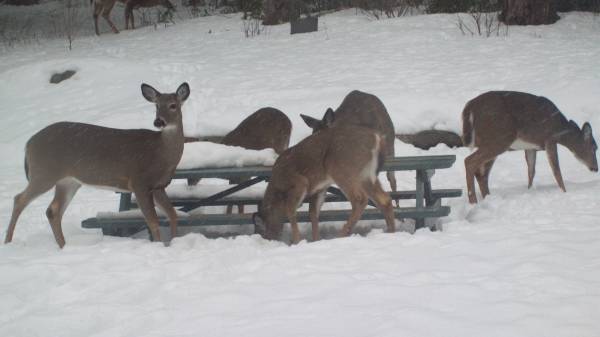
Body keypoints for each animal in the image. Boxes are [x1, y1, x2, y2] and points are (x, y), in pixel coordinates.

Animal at [2, 82, 190, 247]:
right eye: (157, 106)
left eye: (173, 105)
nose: (158, 122)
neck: (161, 154)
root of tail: (28, 144)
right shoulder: (139, 182)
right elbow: (153, 221)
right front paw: (159, 245)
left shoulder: (158, 186)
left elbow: (173, 215)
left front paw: (174, 240)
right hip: (44, 172)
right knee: (19, 199)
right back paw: (8, 241)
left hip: (68, 181)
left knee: (52, 210)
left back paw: (63, 246)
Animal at [252, 124, 396, 243]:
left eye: (262, 232)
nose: (269, 239)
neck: (277, 189)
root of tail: (377, 139)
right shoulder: (320, 188)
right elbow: (313, 213)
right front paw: (316, 240)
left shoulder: (299, 182)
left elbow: (290, 210)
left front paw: (297, 241)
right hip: (367, 174)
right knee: (385, 199)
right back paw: (391, 231)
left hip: (342, 168)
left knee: (359, 198)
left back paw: (342, 235)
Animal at [464, 89, 596, 203]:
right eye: (594, 147)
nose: (596, 168)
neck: (561, 130)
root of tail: (469, 107)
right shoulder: (550, 139)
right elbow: (556, 170)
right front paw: (564, 192)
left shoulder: (531, 147)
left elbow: (531, 171)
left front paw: (529, 191)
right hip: (500, 138)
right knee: (469, 161)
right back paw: (473, 201)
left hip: (491, 142)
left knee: (481, 173)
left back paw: (487, 198)